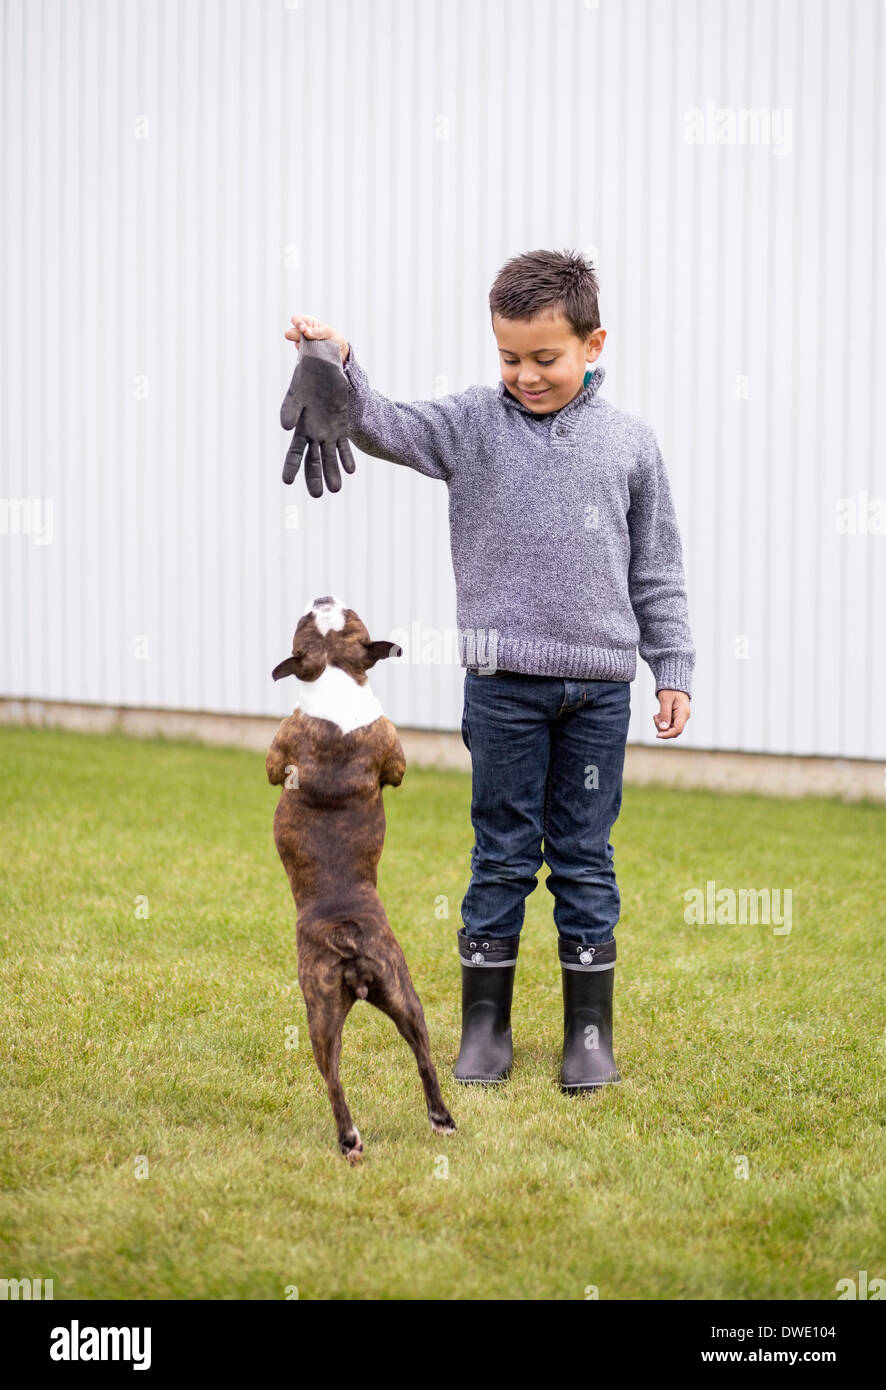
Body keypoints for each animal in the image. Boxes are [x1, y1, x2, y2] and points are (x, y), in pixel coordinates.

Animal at [265, 594, 456, 1162]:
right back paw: (434, 1122)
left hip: (325, 1007)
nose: (323, 596)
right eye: (314, 621)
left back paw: (352, 1139)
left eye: (335, 617)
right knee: (418, 1059)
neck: (332, 669)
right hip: (399, 995)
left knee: (334, 1078)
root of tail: (348, 932)